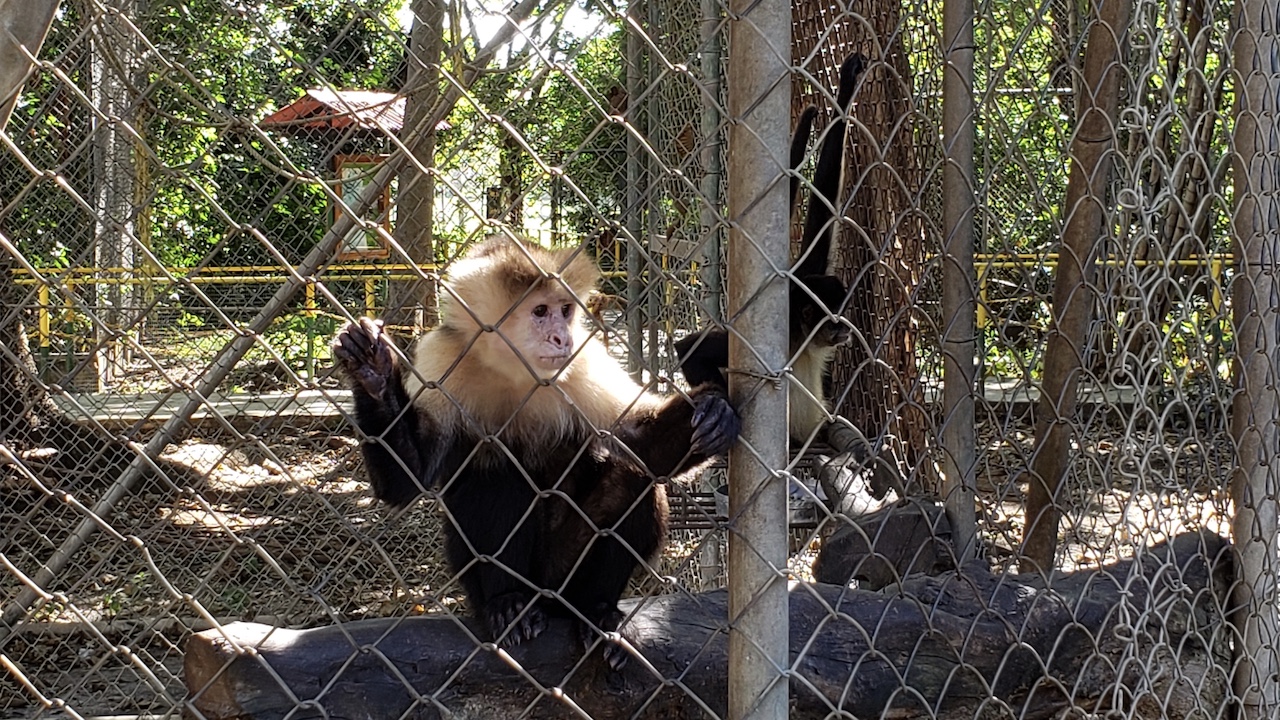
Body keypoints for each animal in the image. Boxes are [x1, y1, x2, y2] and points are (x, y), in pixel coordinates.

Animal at [332, 234, 742, 666]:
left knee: (631, 478)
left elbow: (640, 445)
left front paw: (715, 412)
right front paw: (373, 372)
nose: (562, 336)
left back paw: (598, 611)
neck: (517, 370)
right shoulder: (441, 359)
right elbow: (408, 481)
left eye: (564, 310)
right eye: (540, 311)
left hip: (568, 574)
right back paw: (508, 604)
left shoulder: (582, 360)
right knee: (492, 468)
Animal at [675, 51, 865, 443]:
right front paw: (720, 413)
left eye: (843, 313)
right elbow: (689, 349)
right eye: (834, 319)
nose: (846, 329)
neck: (803, 340)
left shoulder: (807, 277)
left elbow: (822, 218)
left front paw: (844, 92)